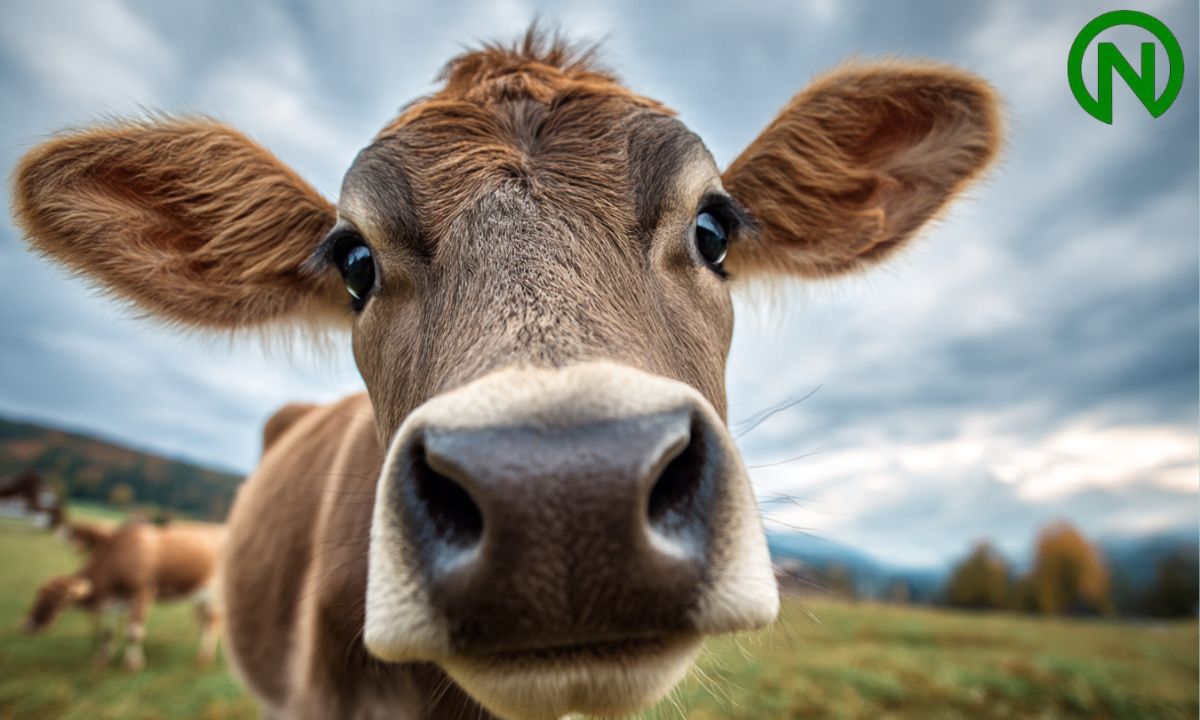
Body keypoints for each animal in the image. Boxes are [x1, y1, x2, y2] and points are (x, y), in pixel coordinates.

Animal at [22, 518, 225, 670]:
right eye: (38, 594)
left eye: (56, 597)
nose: (29, 625)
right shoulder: (116, 601)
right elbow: (107, 633)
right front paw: (101, 660)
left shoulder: (143, 592)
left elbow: (134, 631)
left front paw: (133, 664)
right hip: (200, 595)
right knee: (204, 621)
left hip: (215, 593)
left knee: (212, 621)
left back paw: (205, 658)